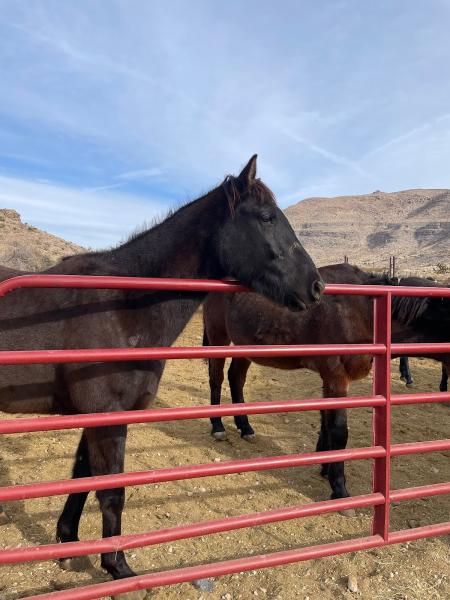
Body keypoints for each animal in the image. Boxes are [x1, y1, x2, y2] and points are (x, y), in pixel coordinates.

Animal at [0, 156, 324, 596]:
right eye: (266, 217)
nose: (316, 287)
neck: (125, 306)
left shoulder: (97, 418)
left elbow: (83, 477)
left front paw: (68, 545)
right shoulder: (108, 417)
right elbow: (111, 492)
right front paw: (119, 568)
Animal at [204, 262, 450, 502]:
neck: (363, 311)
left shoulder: (328, 379)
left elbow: (325, 422)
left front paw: (325, 466)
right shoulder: (336, 377)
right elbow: (339, 430)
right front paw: (339, 488)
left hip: (245, 347)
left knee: (236, 378)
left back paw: (245, 427)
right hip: (218, 338)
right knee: (216, 378)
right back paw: (218, 426)